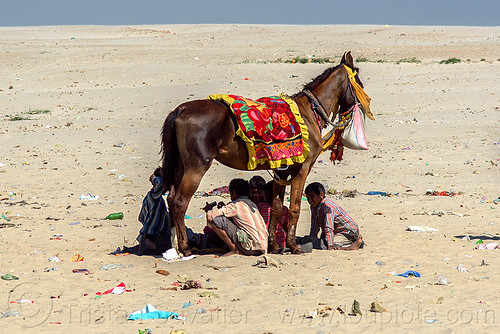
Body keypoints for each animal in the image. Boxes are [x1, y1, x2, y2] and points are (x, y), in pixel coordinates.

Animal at [162, 50, 366, 256]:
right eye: (358, 80)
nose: (363, 105)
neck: (307, 114)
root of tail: (180, 110)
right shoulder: (302, 168)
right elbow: (295, 207)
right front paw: (293, 245)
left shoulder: (281, 171)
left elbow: (277, 208)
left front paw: (274, 245)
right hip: (196, 167)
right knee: (180, 202)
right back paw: (185, 248)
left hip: (180, 167)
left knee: (171, 199)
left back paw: (174, 246)